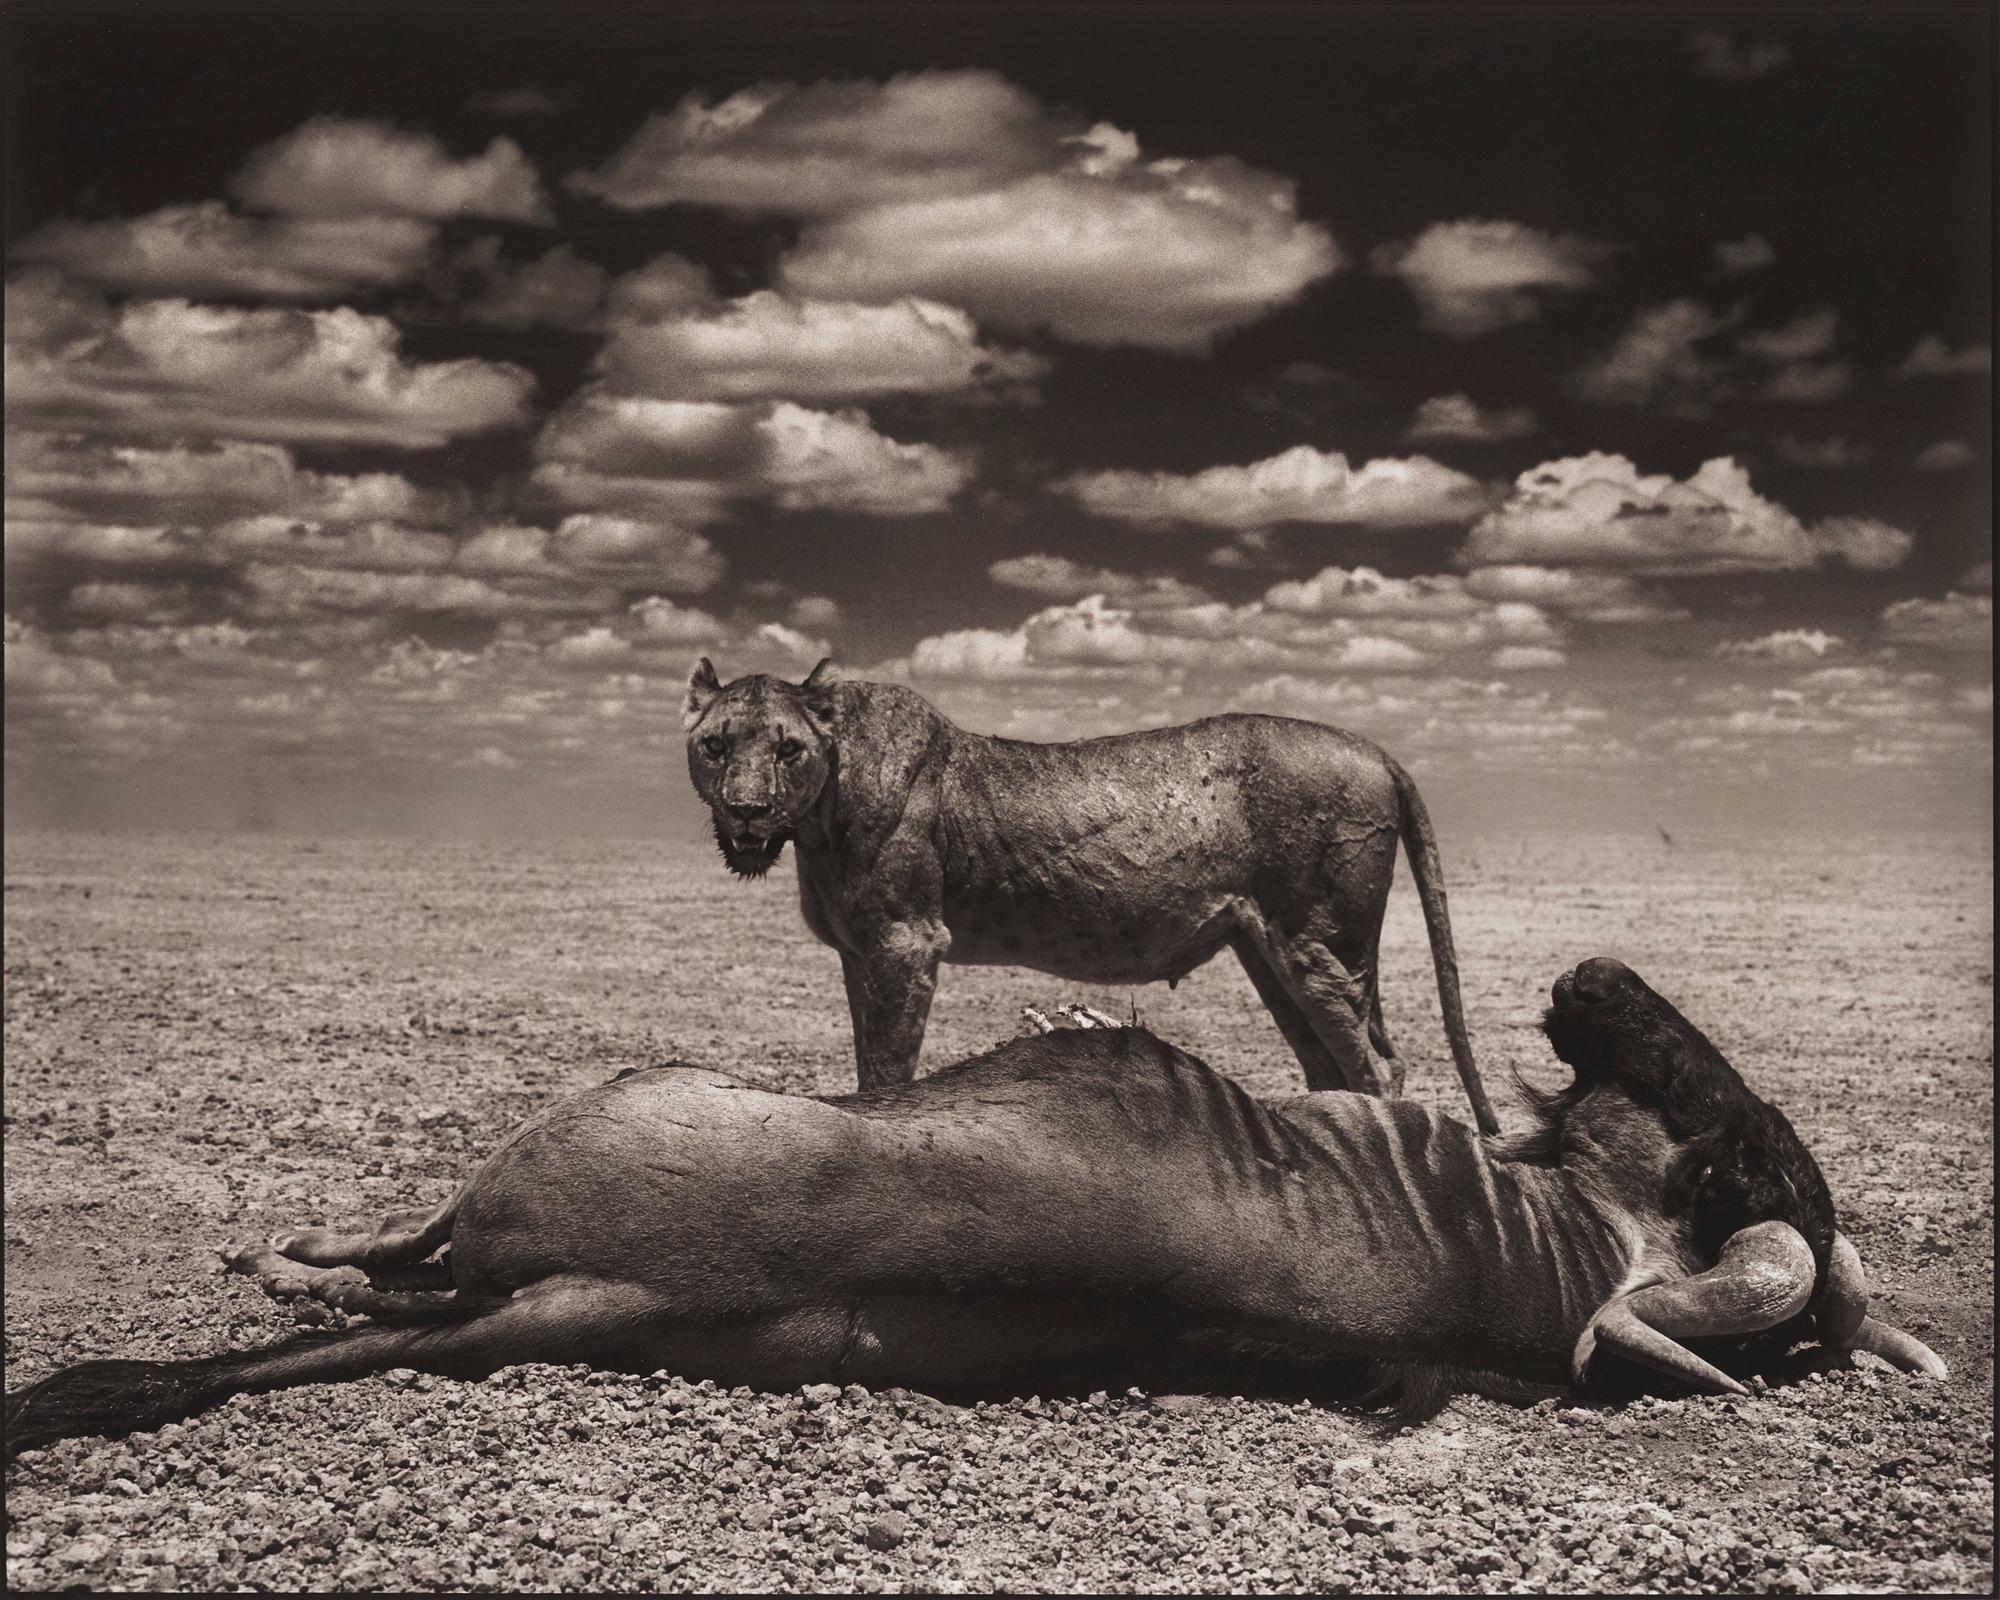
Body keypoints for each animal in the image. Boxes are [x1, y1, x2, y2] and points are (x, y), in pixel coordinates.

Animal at [4, 958, 1942, 1456]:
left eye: (1737, 1147)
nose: (1593, 985)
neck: (1496, 1253)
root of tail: (607, 1299)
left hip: (558, 1166)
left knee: (402, 1266)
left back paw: (302, 1258)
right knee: (394, 1284)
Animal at [683, 658, 1500, 1132]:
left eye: (789, 749)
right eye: (714, 745)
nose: (747, 811)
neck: (816, 820)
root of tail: (1377, 750)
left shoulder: (906, 941)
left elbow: (886, 1070)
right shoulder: (860, 952)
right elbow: (865, 1057)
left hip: (1319, 943)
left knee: (1380, 1071)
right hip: (1271, 952)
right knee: (1331, 1067)